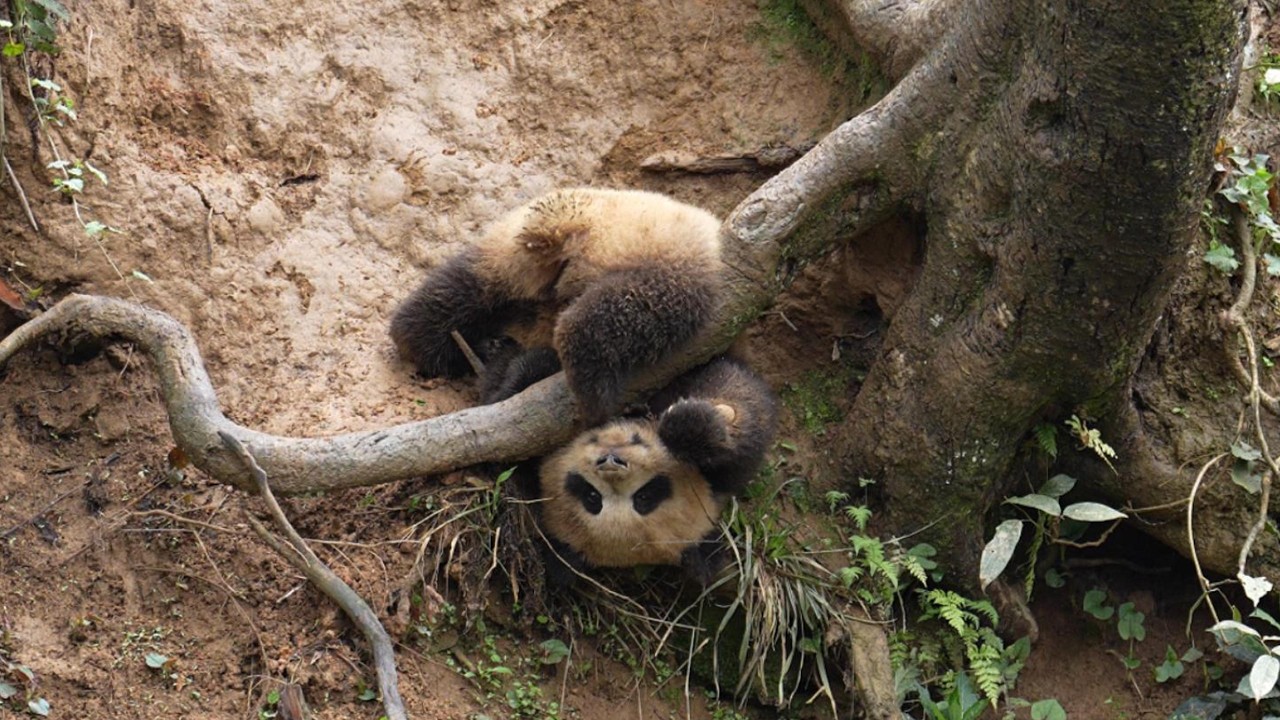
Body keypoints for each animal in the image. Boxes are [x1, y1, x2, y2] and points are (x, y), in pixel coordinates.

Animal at [389, 187, 723, 423]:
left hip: (501, 254)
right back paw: (594, 396)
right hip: (672, 268)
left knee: (456, 292)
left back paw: (426, 344)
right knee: (617, 313)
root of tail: (563, 229)